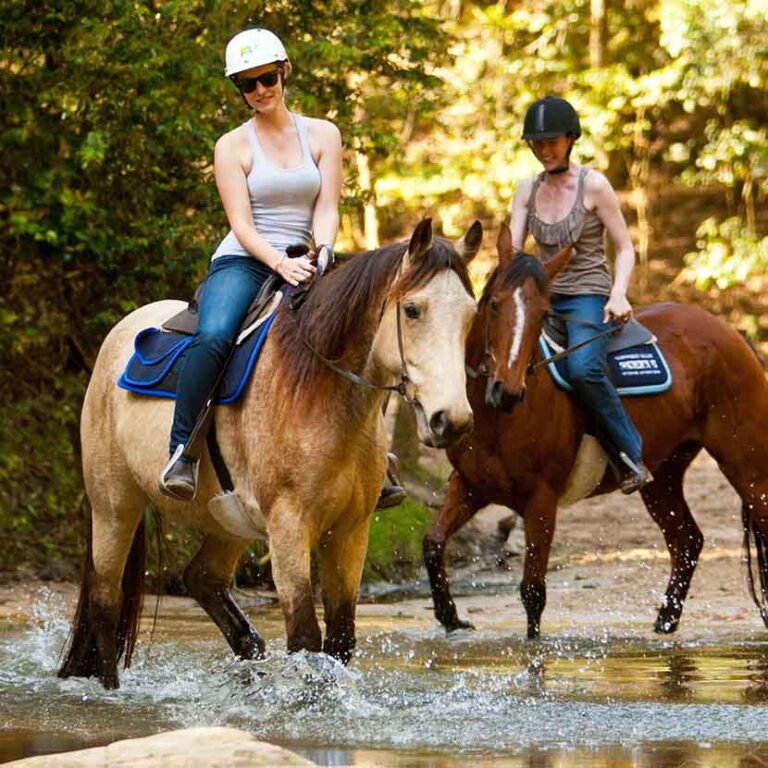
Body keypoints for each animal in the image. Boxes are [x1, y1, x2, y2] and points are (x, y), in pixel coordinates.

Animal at [60, 218, 480, 688]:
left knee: (201, 579)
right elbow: (305, 639)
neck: (320, 392)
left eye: (470, 316)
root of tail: (116, 339)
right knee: (105, 602)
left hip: (228, 521)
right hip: (114, 507)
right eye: (411, 310)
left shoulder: (350, 531)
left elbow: (340, 640)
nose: (452, 420)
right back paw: (111, 688)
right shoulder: (289, 526)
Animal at [424, 225, 768, 640]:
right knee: (686, 540)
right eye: (493, 304)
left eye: (543, 314)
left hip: (747, 464)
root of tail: (731, 333)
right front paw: (450, 617)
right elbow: (433, 544)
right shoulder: (470, 485)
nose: (507, 390)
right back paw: (663, 624)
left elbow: (532, 592)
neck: (498, 419)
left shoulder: (541, 501)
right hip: (663, 475)